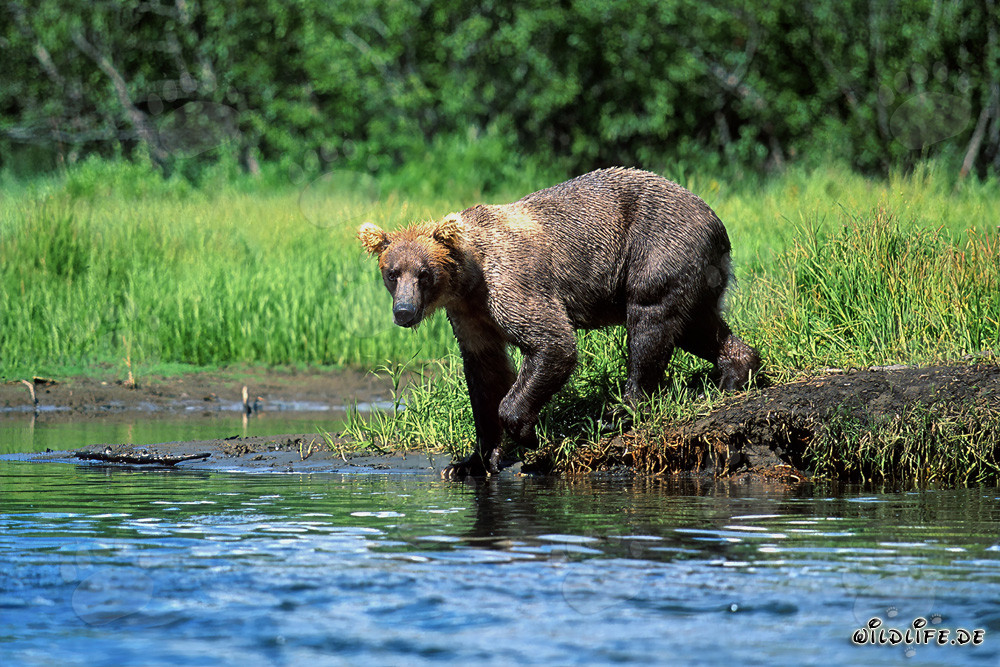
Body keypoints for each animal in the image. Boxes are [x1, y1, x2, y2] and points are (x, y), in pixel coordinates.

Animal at [358, 167, 761, 479]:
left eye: (423, 274)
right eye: (392, 273)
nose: (404, 312)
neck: (469, 280)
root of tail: (715, 219)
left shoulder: (511, 285)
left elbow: (552, 342)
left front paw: (526, 433)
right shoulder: (470, 315)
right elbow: (486, 374)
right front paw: (469, 462)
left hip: (657, 246)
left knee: (650, 321)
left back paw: (622, 409)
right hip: (693, 270)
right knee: (697, 325)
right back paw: (733, 374)